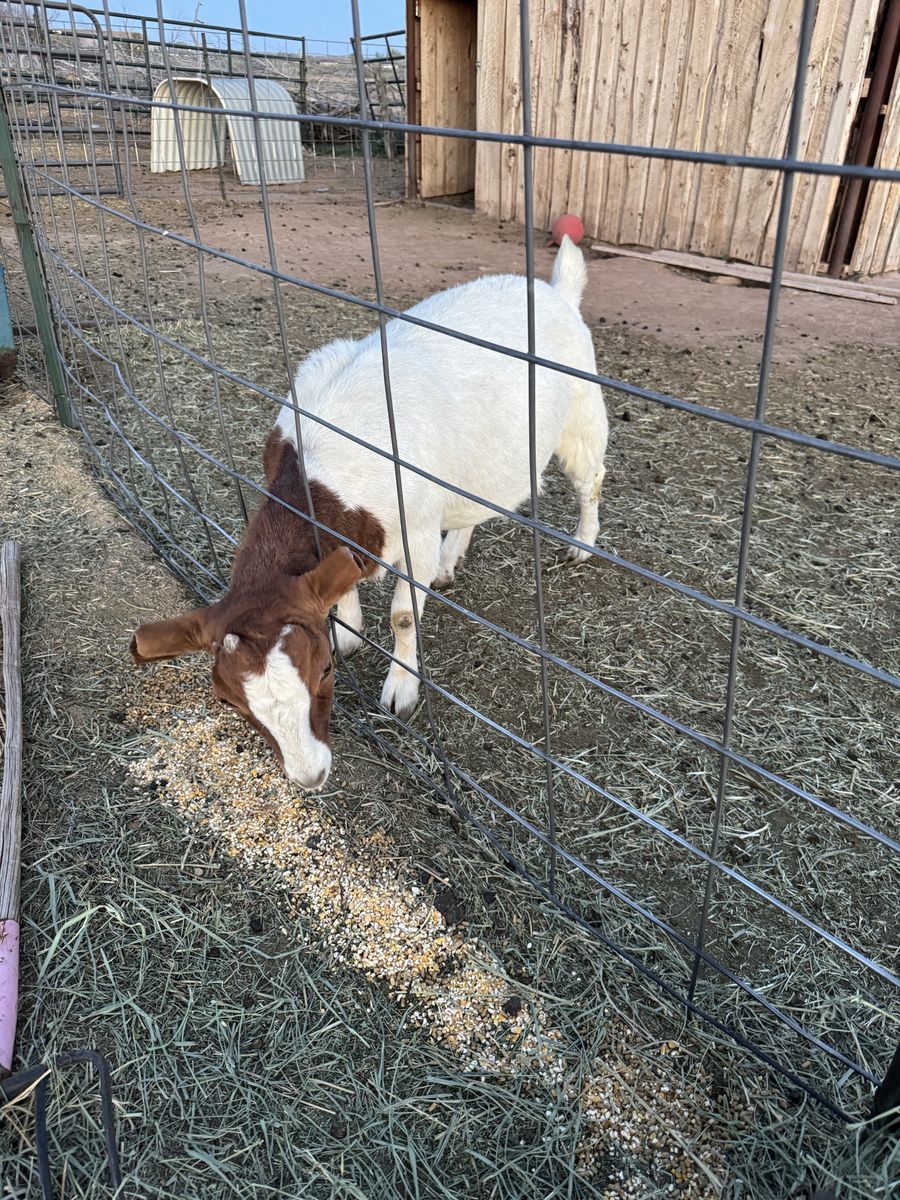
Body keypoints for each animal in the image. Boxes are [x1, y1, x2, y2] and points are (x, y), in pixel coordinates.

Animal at [131, 236, 608, 789]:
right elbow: (342, 583)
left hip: (583, 414)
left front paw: (400, 690)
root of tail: (554, 290)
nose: (309, 776)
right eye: (230, 701)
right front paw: (349, 627)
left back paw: (581, 544)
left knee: (591, 478)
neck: (326, 467)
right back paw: (451, 561)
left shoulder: (415, 529)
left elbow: (403, 617)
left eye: (324, 673)